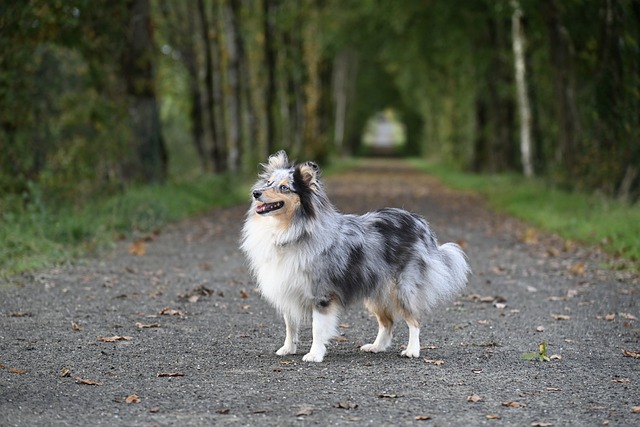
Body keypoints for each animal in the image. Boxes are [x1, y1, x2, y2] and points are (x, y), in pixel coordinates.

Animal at [240, 152, 470, 362]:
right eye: (268, 182)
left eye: (284, 188)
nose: (255, 193)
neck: (290, 231)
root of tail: (419, 222)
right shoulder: (287, 287)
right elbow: (290, 325)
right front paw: (288, 349)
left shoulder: (321, 294)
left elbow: (317, 328)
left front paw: (314, 354)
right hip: (376, 291)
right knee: (387, 322)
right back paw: (376, 347)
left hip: (401, 288)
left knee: (414, 320)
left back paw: (412, 350)